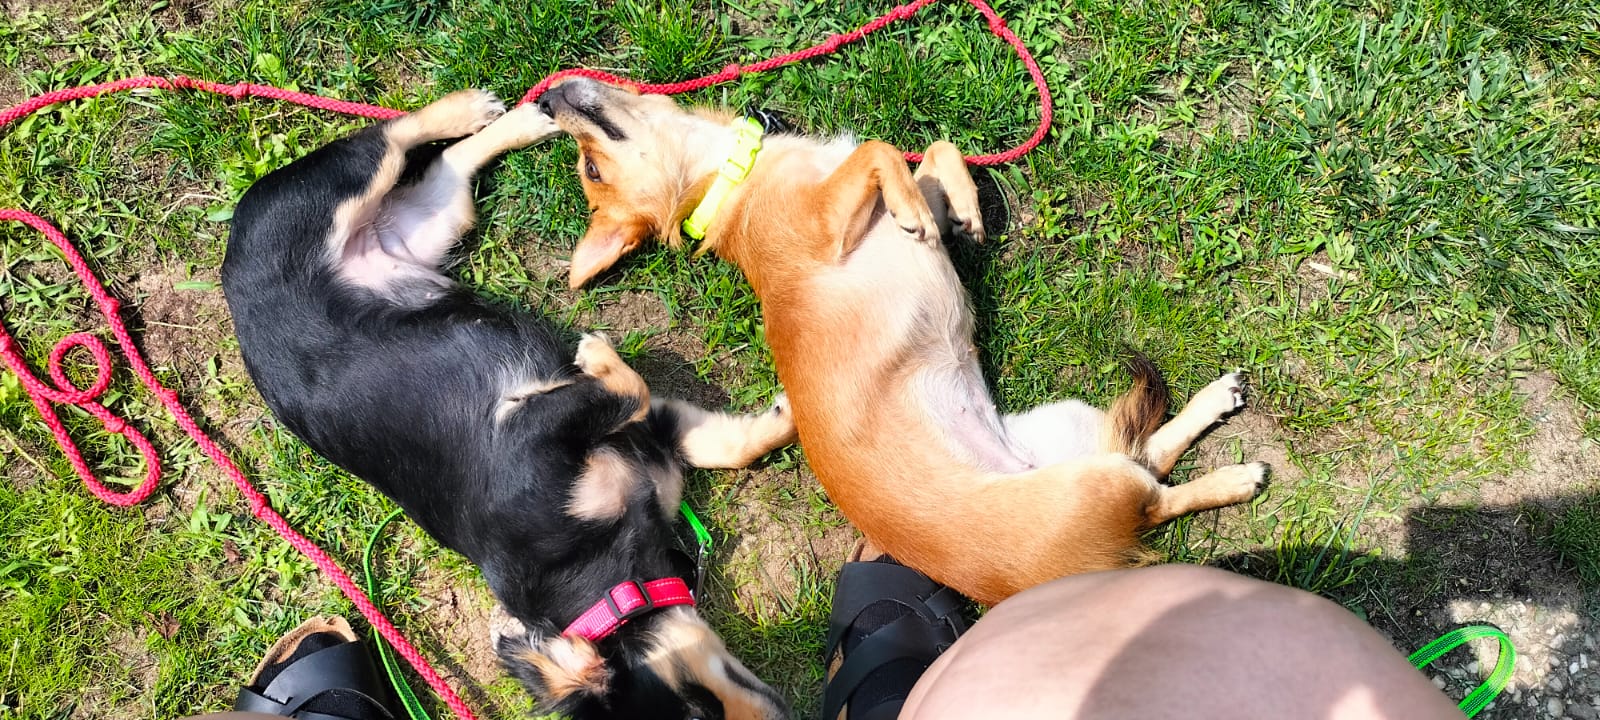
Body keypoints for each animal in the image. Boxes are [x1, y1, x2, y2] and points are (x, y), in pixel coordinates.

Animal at [221, 89, 795, 719]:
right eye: (698, 712)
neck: (612, 570)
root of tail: (229, 268)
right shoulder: (544, 427)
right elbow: (633, 389)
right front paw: (598, 352)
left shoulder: (637, 430)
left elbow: (723, 441)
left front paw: (789, 415)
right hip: (341, 202)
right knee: (393, 141)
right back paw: (487, 111)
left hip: (419, 216)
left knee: (425, 152)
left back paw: (507, 113)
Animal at [540, 78, 1269, 606]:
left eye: (587, 166)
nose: (546, 101)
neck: (731, 181)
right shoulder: (828, 221)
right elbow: (879, 148)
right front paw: (917, 210)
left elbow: (937, 149)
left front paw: (961, 209)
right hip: (1100, 485)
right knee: (1160, 496)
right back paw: (1236, 477)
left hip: (1076, 431)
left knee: (1154, 453)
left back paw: (1217, 398)